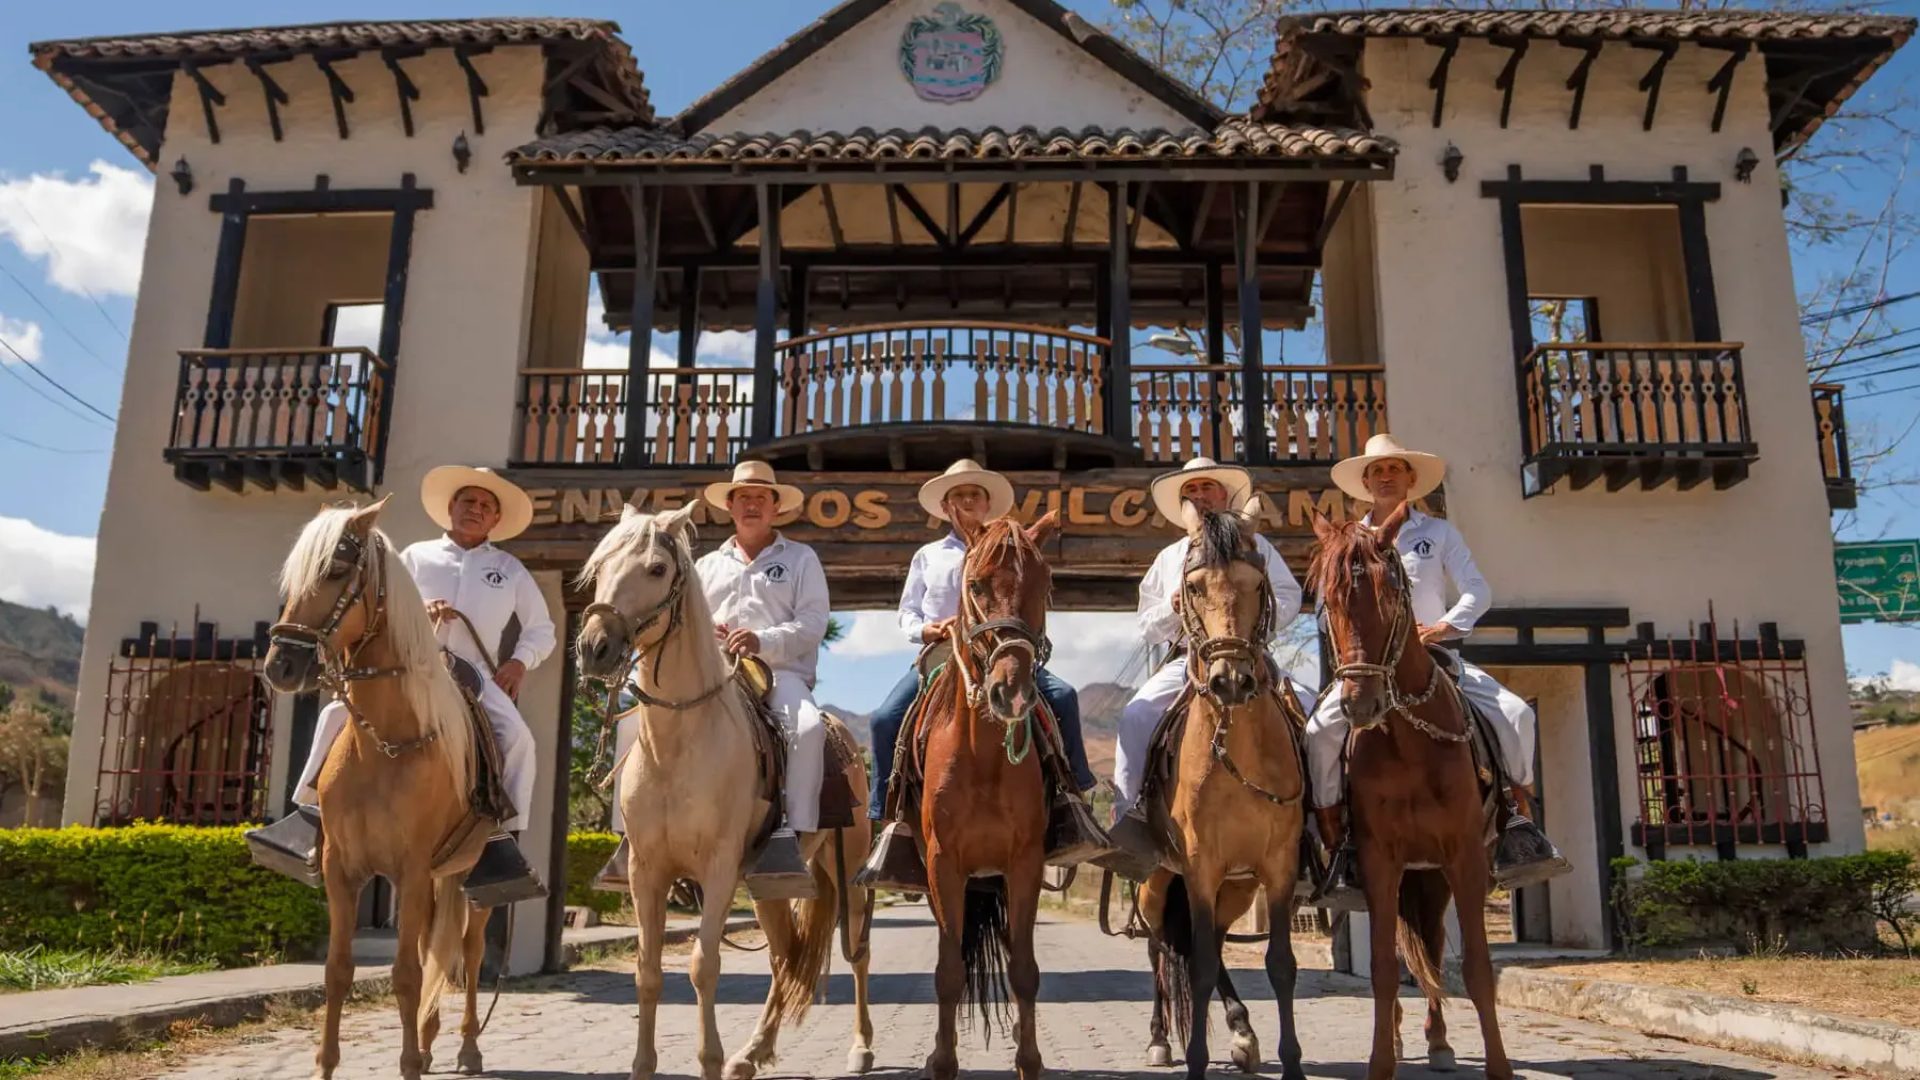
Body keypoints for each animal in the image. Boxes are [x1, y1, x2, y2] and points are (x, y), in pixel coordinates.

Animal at [263, 499, 495, 1076]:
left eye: (336, 570)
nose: (281, 664)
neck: (385, 744)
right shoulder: (342, 870)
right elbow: (338, 970)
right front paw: (325, 1064)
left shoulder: (409, 870)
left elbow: (407, 974)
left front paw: (409, 1062)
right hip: (437, 877)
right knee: (438, 947)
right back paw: (432, 1042)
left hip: (473, 882)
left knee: (470, 951)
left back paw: (466, 1047)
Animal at [564, 503, 875, 1076]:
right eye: (599, 567)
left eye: (657, 568)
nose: (594, 648)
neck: (679, 744)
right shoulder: (646, 872)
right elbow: (648, 971)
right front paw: (644, 1064)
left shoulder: (719, 867)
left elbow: (703, 965)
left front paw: (709, 1059)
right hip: (770, 883)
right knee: (782, 955)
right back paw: (753, 1053)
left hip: (851, 873)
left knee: (856, 952)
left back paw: (860, 1046)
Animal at [913, 507, 1067, 1076]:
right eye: (975, 584)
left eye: (1046, 585)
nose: (1012, 692)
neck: (982, 758)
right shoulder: (943, 864)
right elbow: (948, 971)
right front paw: (942, 1060)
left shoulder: (1024, 862)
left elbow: (1024, 969)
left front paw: (1030, 1061)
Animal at [1128, 503, 1313, 1076]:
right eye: (1192, 586)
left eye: (1256, 583)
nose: (1230, 679)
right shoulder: (1199, 864)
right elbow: (1202, 966)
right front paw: (1194, 1059)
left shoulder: (1277, 866)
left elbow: (1280, 964)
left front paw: (1291, 1060)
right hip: (1157, 883)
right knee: (1161, 949)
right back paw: (1159, 1039)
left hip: (1235, 888)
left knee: (1205, 939)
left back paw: (1242, 1031)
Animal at [1305, 503, 1512, 1076]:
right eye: (1327, 601)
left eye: (1392, 590)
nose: (1360, 703)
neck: (1409, 742)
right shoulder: (1379, 860)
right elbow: (1380, 968)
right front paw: (1381, 1061)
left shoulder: (1464, 856)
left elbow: (1478, 968)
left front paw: (1499, 1066)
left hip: (1432, 874)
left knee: (1434, 949)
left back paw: (1438, 1042)